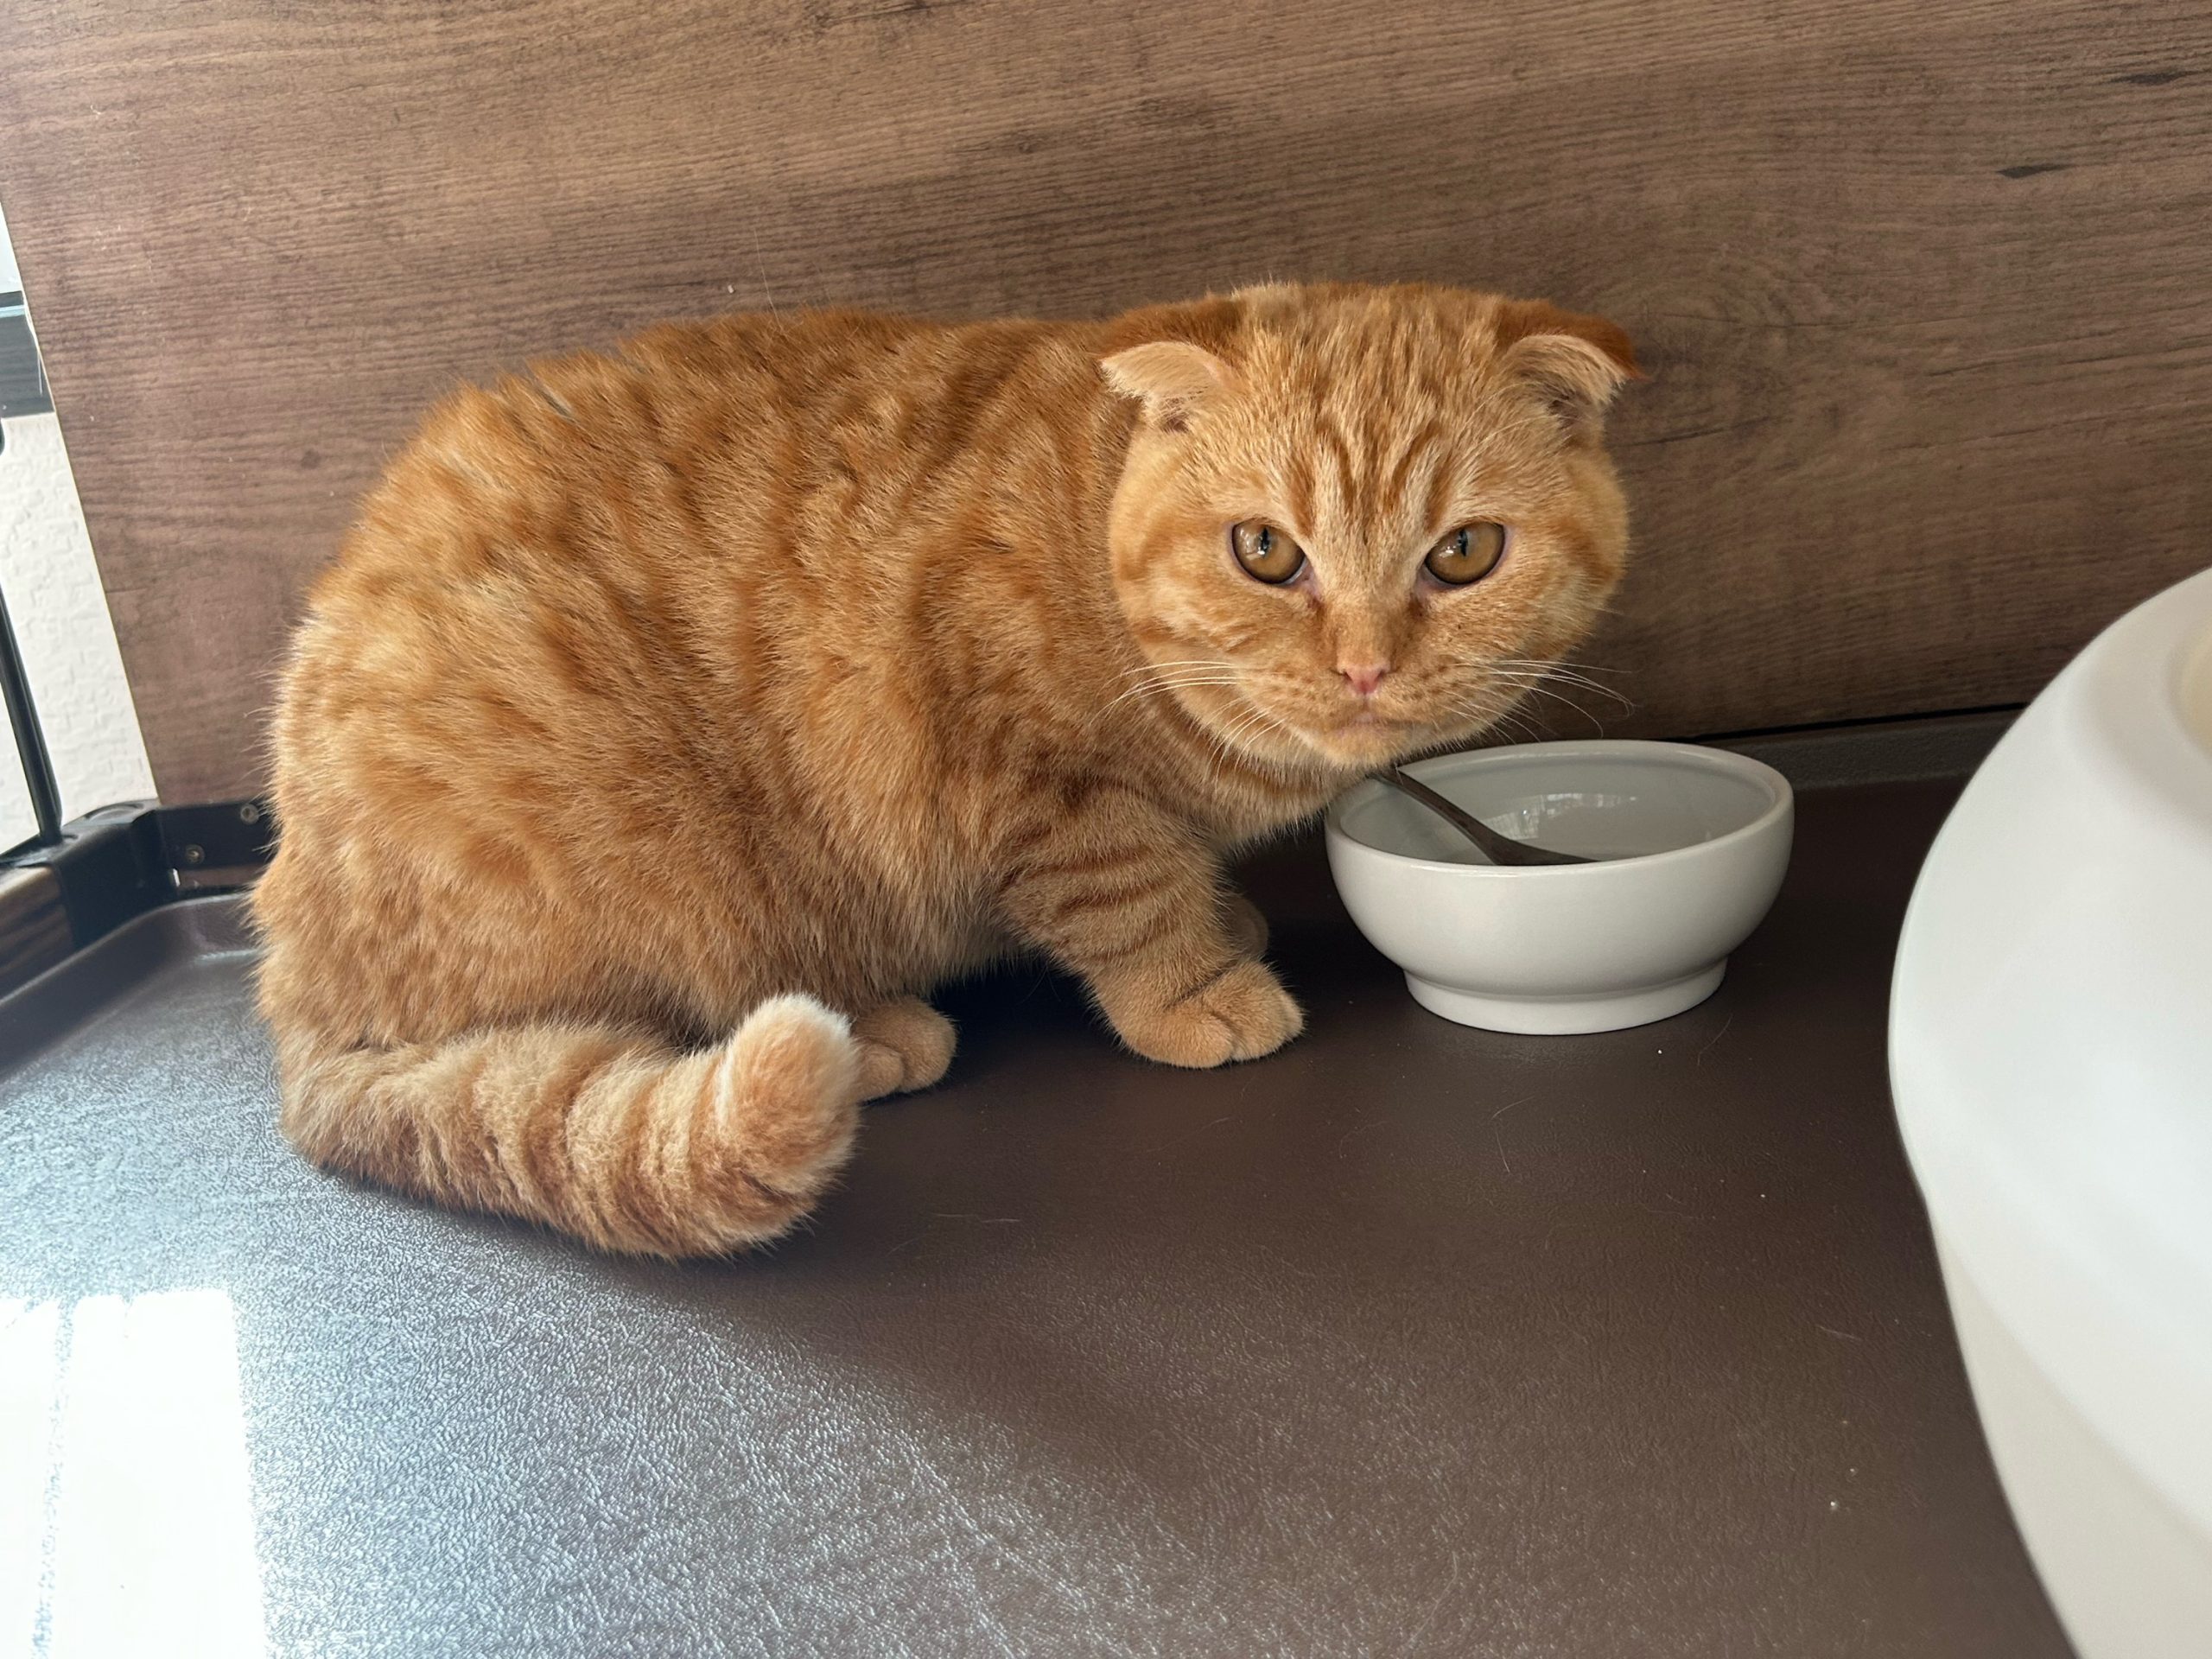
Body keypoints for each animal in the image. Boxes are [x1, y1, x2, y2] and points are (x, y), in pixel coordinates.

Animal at [253, 281, 1638, 1256]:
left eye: (1462, 553)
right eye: (1265, 551)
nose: (1361, 668)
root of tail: (293, 984)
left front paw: (1225, 916)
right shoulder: (1024, 776)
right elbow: (1127, 892)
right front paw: (1194, 984)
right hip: (651, 852)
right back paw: (872, 1027)